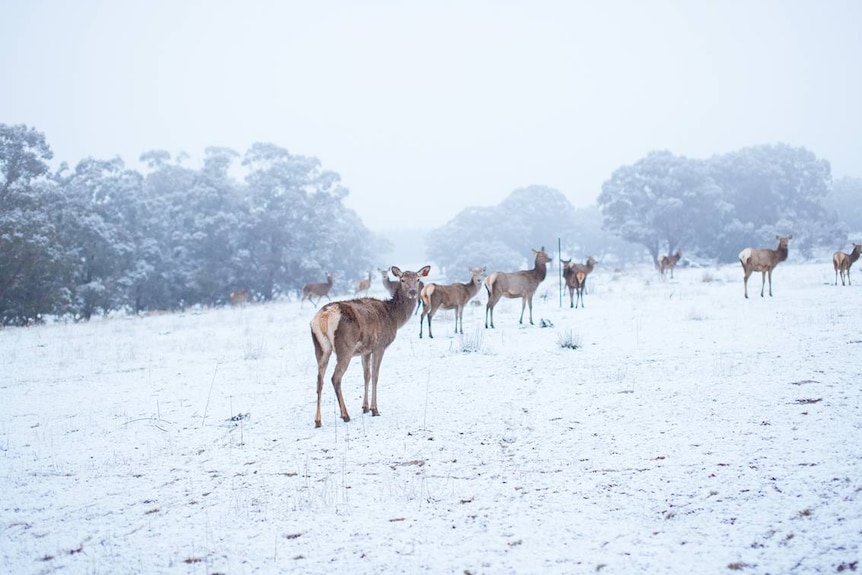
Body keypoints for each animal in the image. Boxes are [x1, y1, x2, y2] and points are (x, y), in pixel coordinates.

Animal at [310, 266, 432, 428]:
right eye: (402, 279)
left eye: (417, 279)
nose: (412, 292)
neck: (394, 317)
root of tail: (324, 317)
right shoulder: (379, 346)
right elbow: (375, 375)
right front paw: (374, 409)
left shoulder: (365, 350)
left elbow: (366, 375)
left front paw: (365, 407)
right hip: (345, 347)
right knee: (335, 377)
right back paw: (345, 415)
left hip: (321, 348)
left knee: (319, 379)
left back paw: (318, 420)